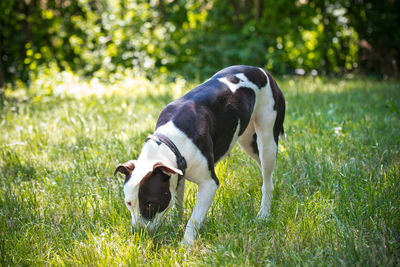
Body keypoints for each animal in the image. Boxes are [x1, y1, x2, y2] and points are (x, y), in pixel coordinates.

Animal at [114, 66, 286, 246]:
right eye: (128, 203)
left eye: (150, 203)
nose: (137, 233)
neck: (170, 143)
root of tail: (261, 71)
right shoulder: (177, 175)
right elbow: (178, 203)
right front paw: (176, 223)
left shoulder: (208, 184)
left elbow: (195, 218)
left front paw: (186, 244)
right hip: (247, 141)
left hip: (267, 139)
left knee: (267, 179)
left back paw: (264, 214)